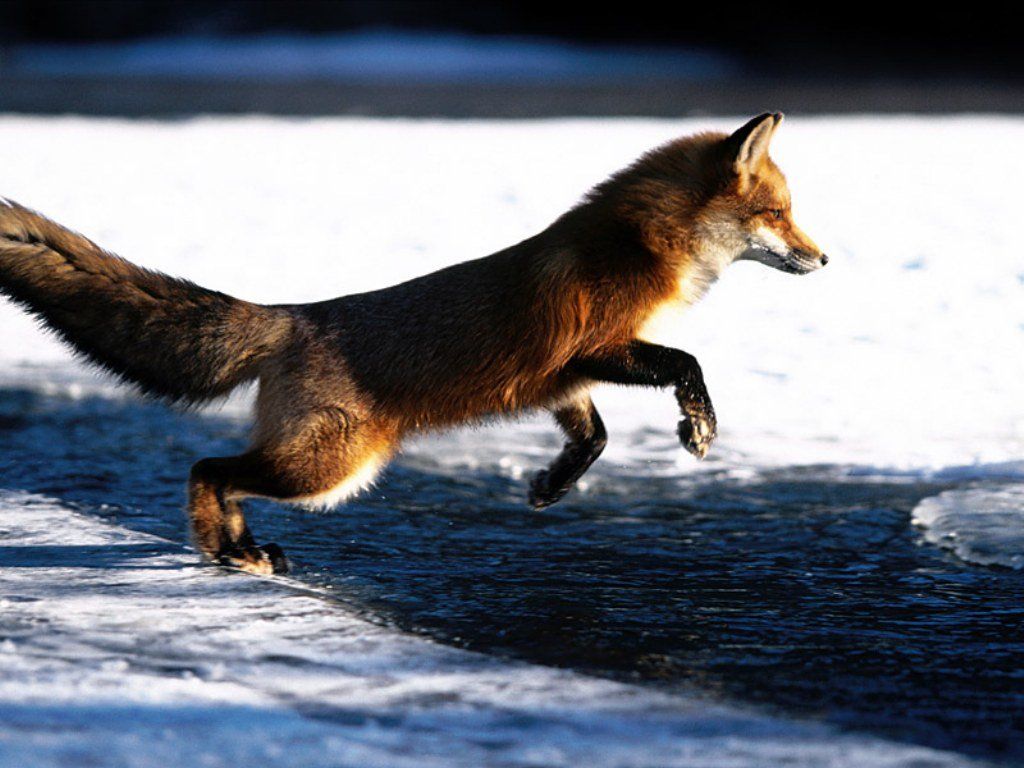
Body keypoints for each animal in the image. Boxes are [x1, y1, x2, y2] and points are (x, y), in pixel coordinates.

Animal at [0, 111, 823, 573]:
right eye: (779, 214)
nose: (825, 260)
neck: (643, 245)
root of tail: (296, 314)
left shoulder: (562, 382)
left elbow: (593, 438)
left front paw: (550, 486)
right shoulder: (588, 348)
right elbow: (687, 364)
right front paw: (699, 428)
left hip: (323, 468)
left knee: (219, 472)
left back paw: (238, 547)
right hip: (329, 469)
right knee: (209, 467)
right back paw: (231, 547)